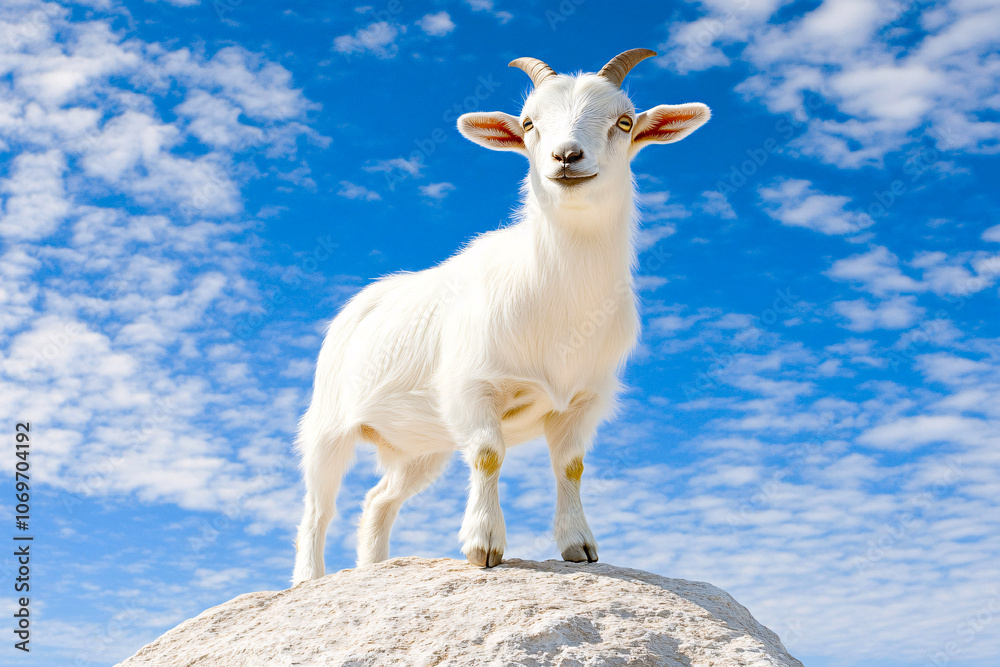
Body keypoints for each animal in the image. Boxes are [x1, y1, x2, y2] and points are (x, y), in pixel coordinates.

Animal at [292, 49, 710, 584]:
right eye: (529, 123)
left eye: (624, 121)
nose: (566, 157)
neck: (560, 300)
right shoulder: (473, 387)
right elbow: (489, 455)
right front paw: (484, 546)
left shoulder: (583, 399)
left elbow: (570, 466)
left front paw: (579, 545)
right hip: (327, 425)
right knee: (317, 507)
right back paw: (308, 579)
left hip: (422, 446)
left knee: (378, 500)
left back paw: (375, 567)